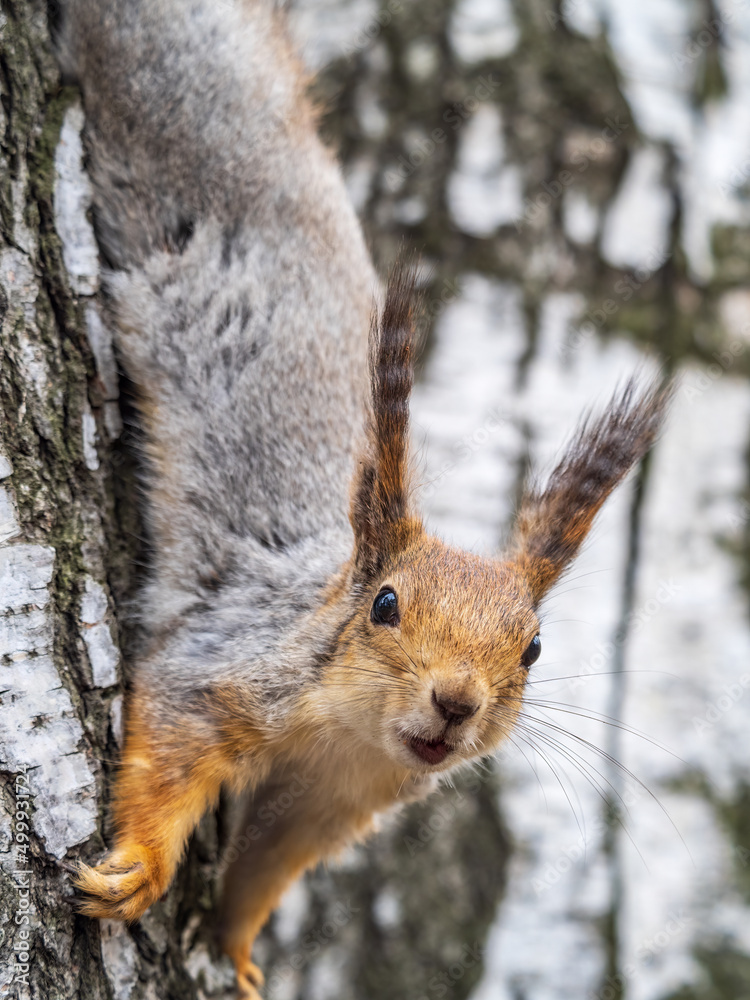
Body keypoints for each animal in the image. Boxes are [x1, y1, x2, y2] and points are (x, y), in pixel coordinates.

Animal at [56, 0, 670, 996]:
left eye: (534, 648)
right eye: (384, 605)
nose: (456, 701)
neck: (349, 737)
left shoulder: (325, 804)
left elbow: (262, 872)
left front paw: (240, 955)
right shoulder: (225, 663)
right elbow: (169, 751)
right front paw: (139, 871)